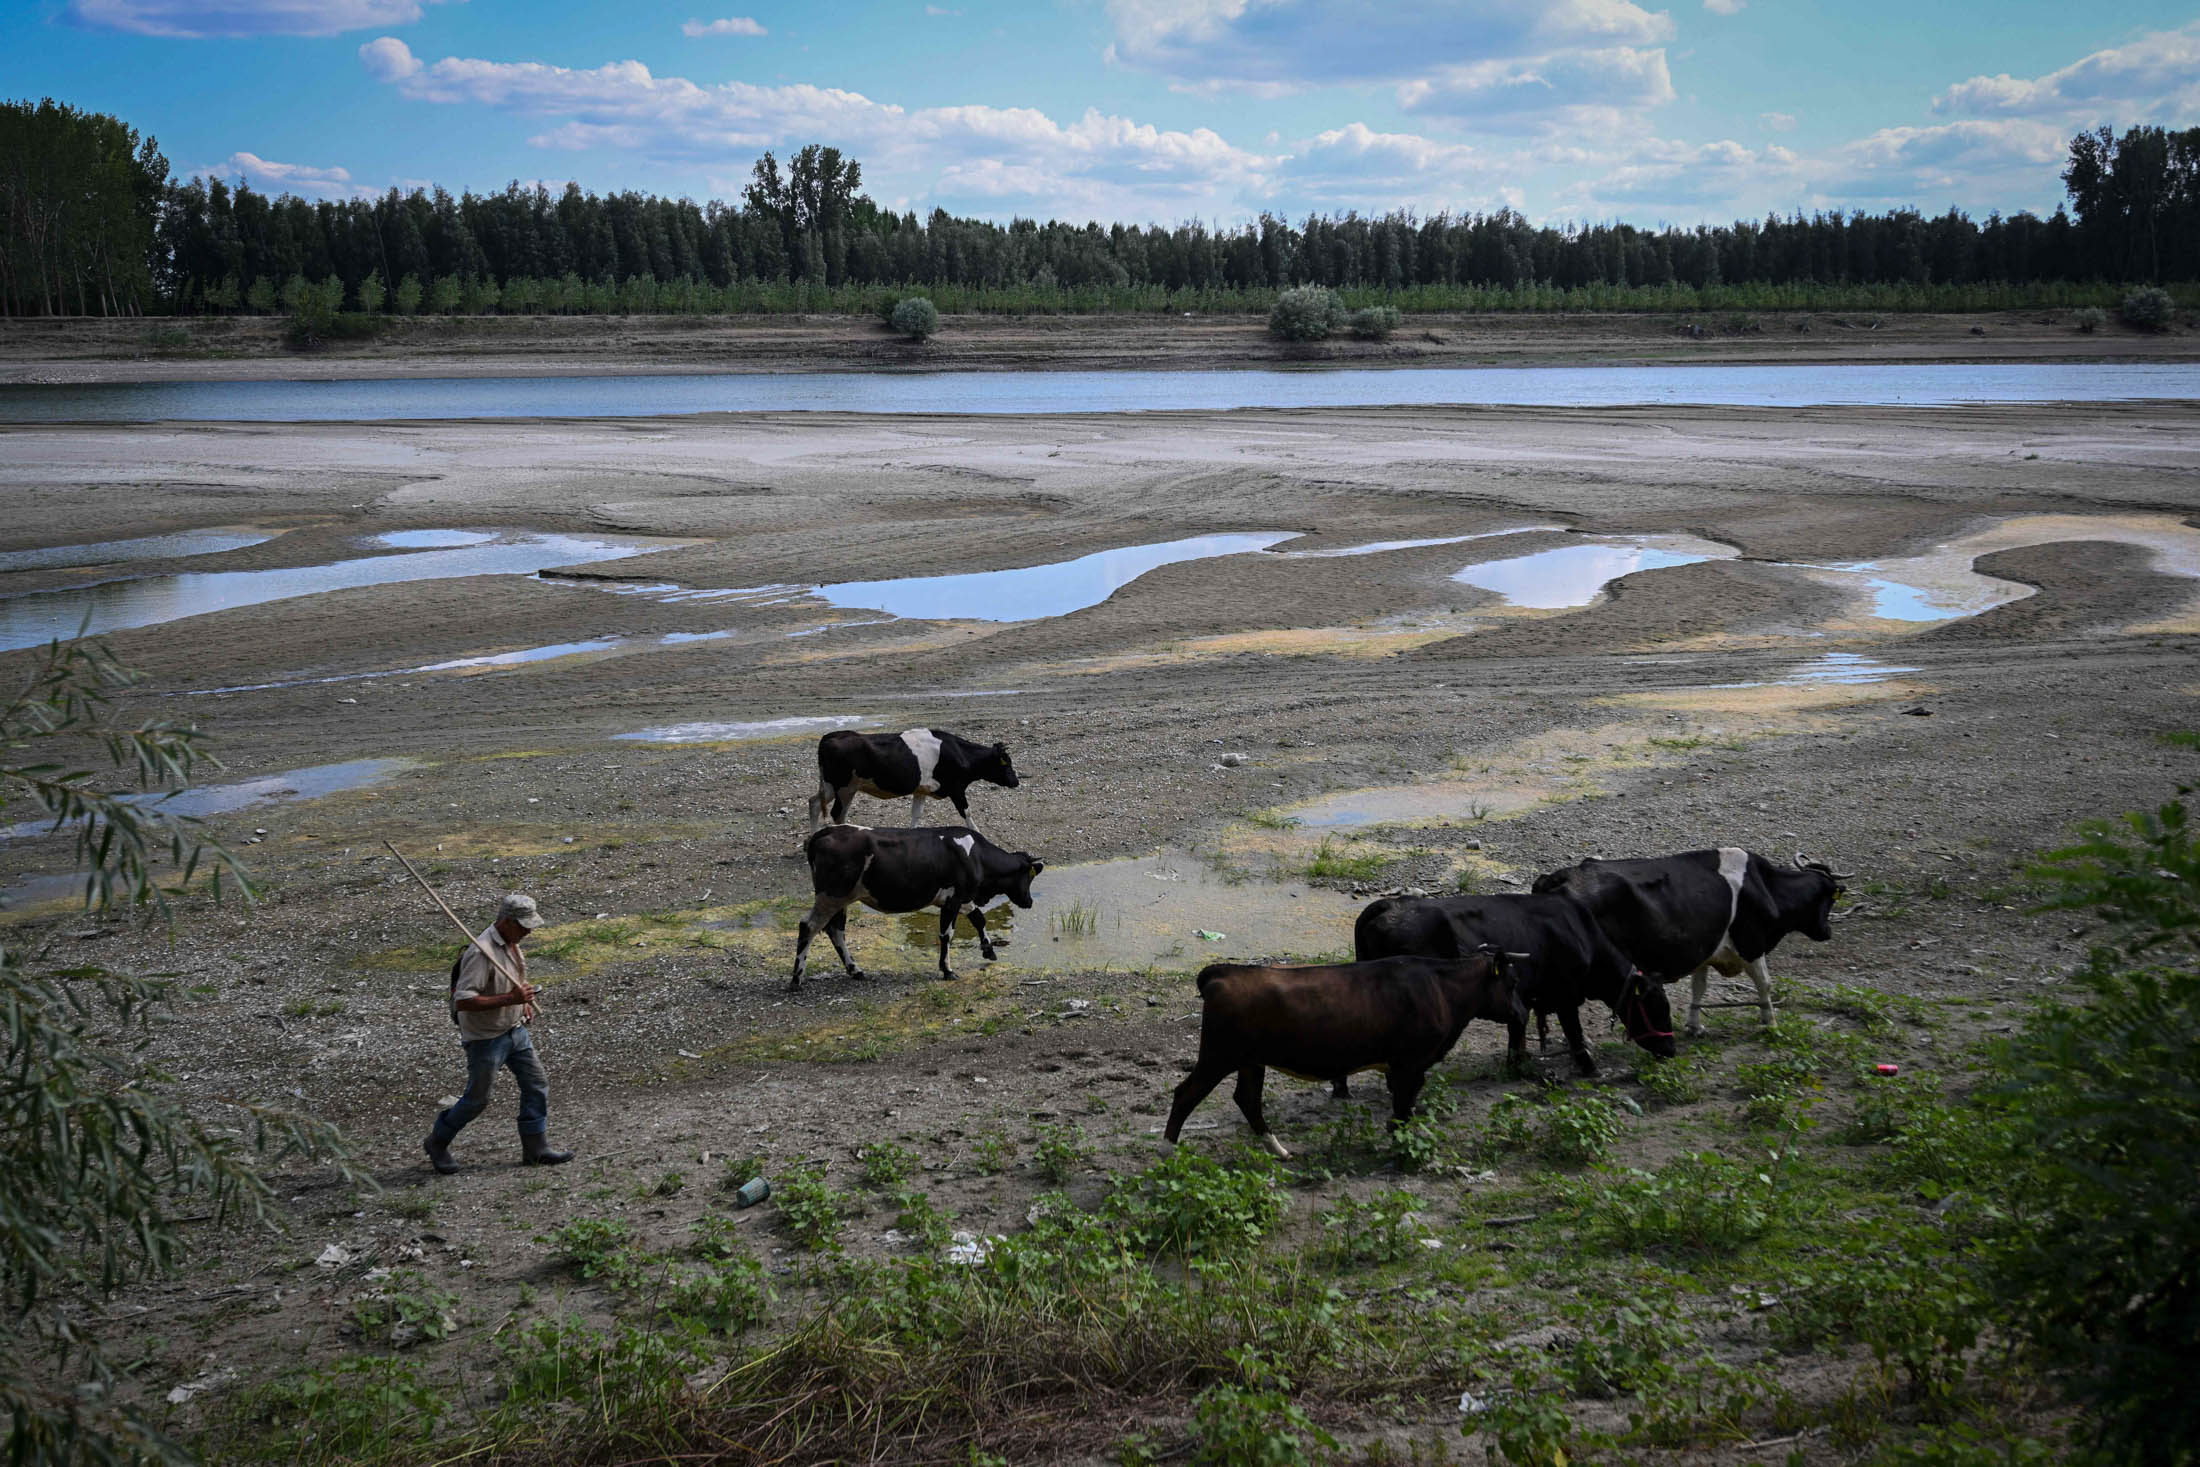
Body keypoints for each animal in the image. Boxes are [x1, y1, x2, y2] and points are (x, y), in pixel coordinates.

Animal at [796, 822, 1042, 994]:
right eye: (1029, 877)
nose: (1030, 902)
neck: (975, 855)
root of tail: (825, 832)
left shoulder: (960, 898)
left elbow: (978, 918)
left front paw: (988, 950)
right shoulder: (954, 899)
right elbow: (947, 934)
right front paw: (947, 970)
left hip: (840, 898)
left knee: (835, 930)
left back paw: (855, 970)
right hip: (831, 895)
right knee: (808, 927)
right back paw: (797, 978)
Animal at [805, 730, 1016, 831]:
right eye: (1006, 764)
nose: (1016, 781)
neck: (960, 753)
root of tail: (830, 736)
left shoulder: (921, 789)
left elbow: (916, 814)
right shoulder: (956, 789)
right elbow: (967, 812)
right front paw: (979, 833)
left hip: (831, 785)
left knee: (814, 803)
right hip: (845, 787)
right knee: (837, 812)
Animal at [1531, 844, 1856, 1038]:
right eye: (1830, 898)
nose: (1827, 932)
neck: (1765, 886)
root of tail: (1558, 877)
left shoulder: (1705, 951)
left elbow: (1699, 988)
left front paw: (1694, 1025)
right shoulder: (1751, 944)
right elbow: (1765, 984)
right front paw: (1771, 1024)